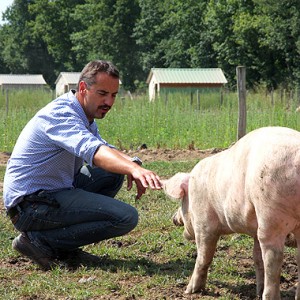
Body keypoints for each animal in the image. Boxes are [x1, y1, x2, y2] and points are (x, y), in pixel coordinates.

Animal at [163, 125, 300, 298]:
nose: (174, 219)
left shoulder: (204, 222)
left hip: (271, 215)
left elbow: (204, 256)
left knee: (274, 259)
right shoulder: (254, 230)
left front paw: (190, 291)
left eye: (182, 201)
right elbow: (257, 258)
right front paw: (257, 290)